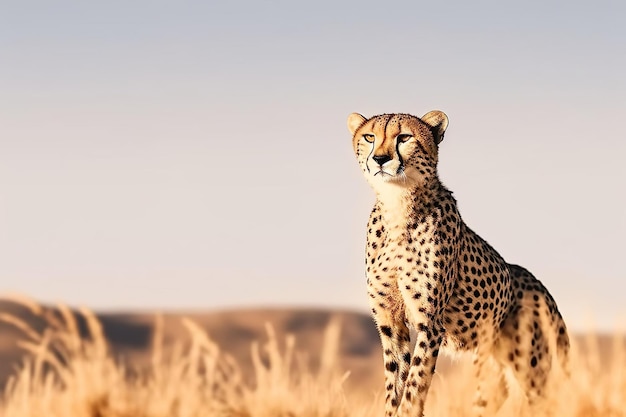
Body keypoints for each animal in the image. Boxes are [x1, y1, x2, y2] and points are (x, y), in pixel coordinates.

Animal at [348, 111, 568, 416]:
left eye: (404, 137)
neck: (397, 204)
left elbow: (415, 384)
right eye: (370, 137)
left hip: (529, 365)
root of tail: (541, 287)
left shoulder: (430, 323)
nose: (380, 159)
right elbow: (395, 385)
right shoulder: (391, 322)